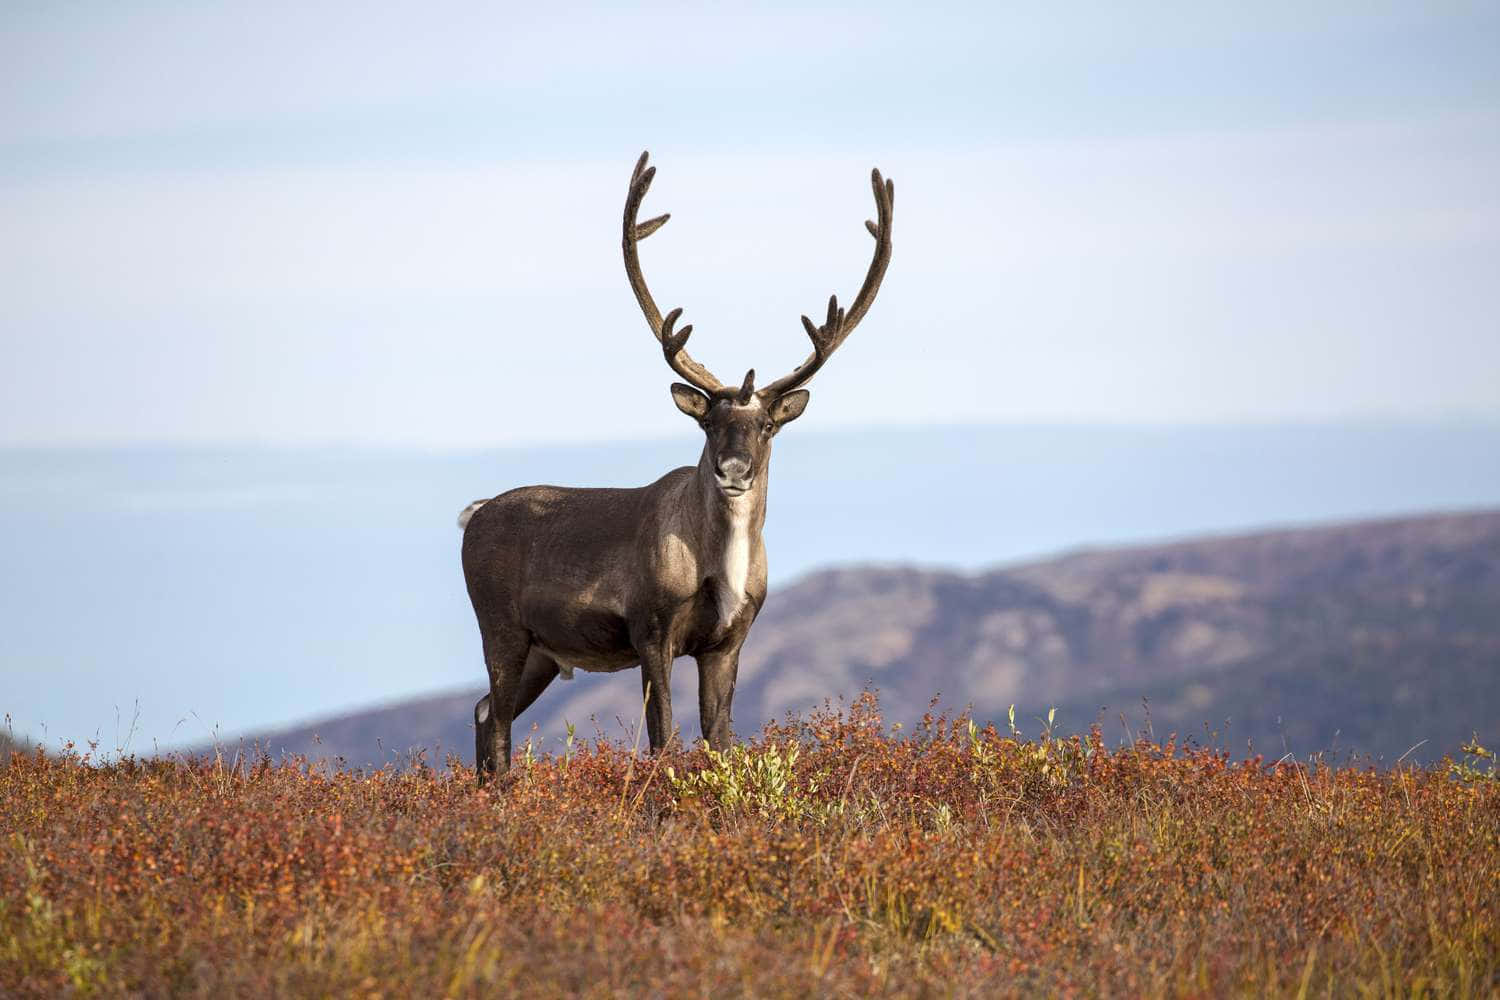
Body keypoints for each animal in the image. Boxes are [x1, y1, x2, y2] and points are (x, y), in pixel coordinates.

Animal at [460, 151, 894, 782]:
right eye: (708, 423)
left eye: (767, 426)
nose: (732, 470)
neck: (721, 562)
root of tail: (473, 515)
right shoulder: (652, 629)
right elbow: (663, 738)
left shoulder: (727, 642)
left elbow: (721, 740)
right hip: (502, 629)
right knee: (494, 719)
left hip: (543, 650)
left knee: (484, 709)